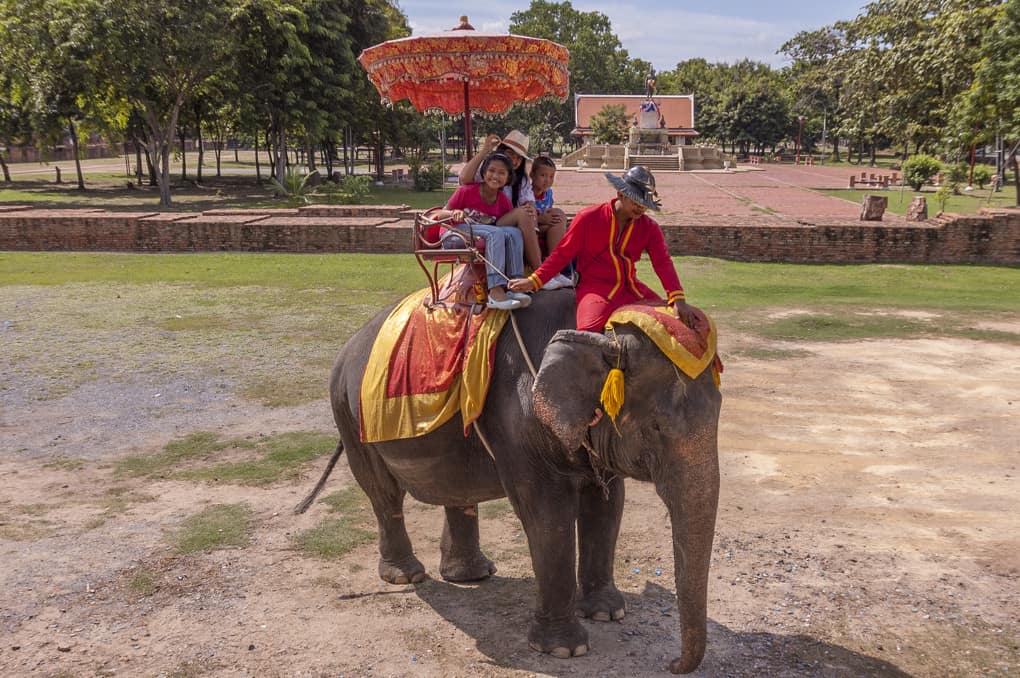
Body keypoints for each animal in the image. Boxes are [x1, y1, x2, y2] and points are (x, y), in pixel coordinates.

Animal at [297, 287, 722, 672]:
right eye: (657, 427)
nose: (672, 664)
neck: (596, 332)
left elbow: (606, 506)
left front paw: (607, 614)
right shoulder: (518, 424)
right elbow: (547, 516)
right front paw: (564, 650)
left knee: (457, 488)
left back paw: (472, 574)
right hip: (348, 413)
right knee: (383, 493)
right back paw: (406, 576)